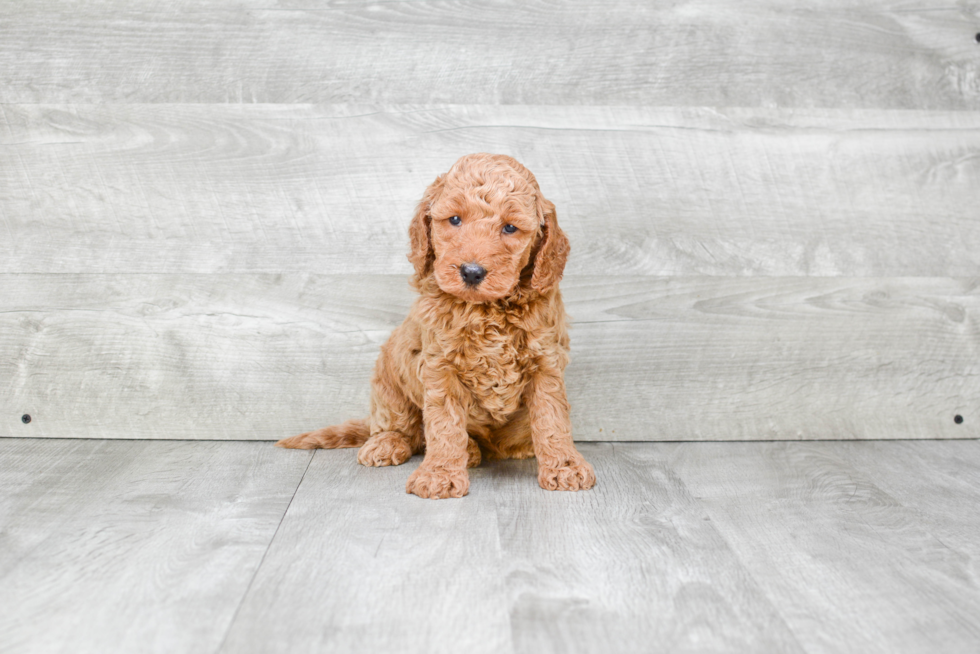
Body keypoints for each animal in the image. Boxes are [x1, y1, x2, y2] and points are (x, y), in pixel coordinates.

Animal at [278, 154, 596, 502]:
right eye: (454, 220)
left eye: (510, 227)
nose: (471, 272)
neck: (485, 310)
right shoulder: (440, 366)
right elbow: (445, 423)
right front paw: (440, 474)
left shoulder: (545, 362)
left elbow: (552, 418)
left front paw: (564, 465)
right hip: (388, 374)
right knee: (401, 425)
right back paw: (392, 443)